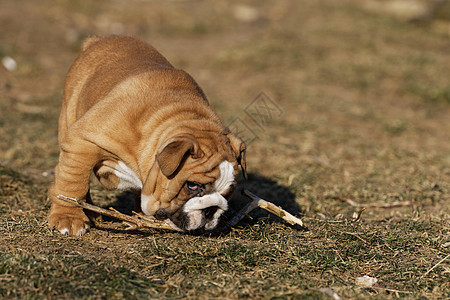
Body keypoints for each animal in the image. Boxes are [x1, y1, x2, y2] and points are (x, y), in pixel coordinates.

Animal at [47, 35, 248, 237]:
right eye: (192, 185)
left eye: (229, 192)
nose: (211, 209)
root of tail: (97, 40)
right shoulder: (83, 140)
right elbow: (73, 183)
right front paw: (69, 218)